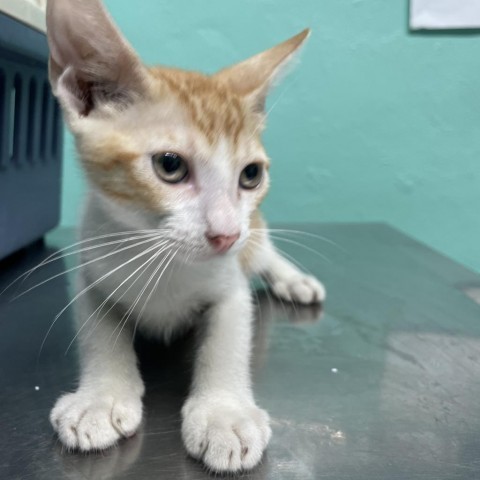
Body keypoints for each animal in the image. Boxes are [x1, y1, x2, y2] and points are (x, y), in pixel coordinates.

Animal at [46, 0, 326, 472]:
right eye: (170, 166)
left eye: (251, 174)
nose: (226, 234)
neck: (163, 261)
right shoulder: (90, 273)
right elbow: (99, 333)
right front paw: (100, 397)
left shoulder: (231, 286)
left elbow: (226, 342)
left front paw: (224, 414)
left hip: (254, 233)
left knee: (263, 248)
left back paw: (294, 279)